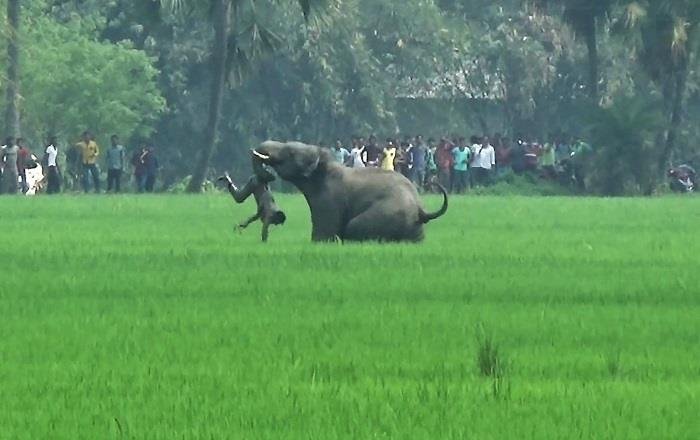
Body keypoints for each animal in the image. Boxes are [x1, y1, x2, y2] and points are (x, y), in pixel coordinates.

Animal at [252, 141, 448, 242]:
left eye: (290, 153)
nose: (267, 176)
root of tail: (421, 211)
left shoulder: (329, 199)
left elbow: (324, 233)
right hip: (415, 229)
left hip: (388, 214)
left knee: (354, 226)